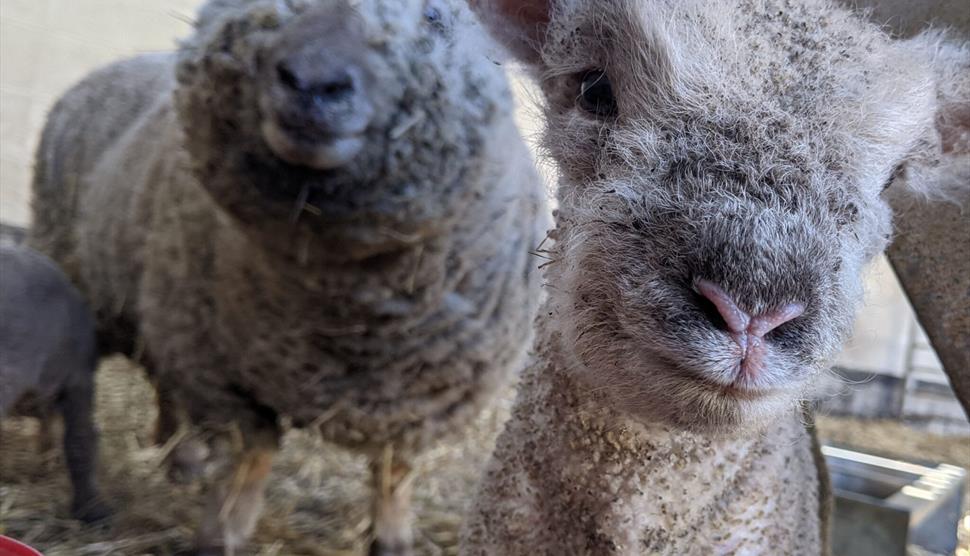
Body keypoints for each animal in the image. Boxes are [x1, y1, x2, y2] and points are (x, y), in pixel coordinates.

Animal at [27, 0, 546, 553]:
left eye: (433, 17)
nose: (312, 83)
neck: (350, 316)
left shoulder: (421, 397)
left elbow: (394, 473)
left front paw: (393, 537)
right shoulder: (226, 381)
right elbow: (246, 467)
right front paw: (220, 536)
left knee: (163, 382)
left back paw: (178, 456)